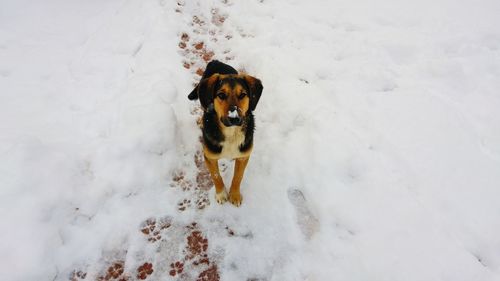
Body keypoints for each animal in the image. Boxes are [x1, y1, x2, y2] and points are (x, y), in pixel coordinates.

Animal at [188, 59, 264, 206]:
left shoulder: (243, 156)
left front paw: (234, 195)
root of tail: (215, 61)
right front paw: (221, 194)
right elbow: (216, 176)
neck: (231, 133)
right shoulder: (209, 156)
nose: (234, 118)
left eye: (243, 95)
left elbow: (238, 176)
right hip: (203, 98)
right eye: (221, 95)